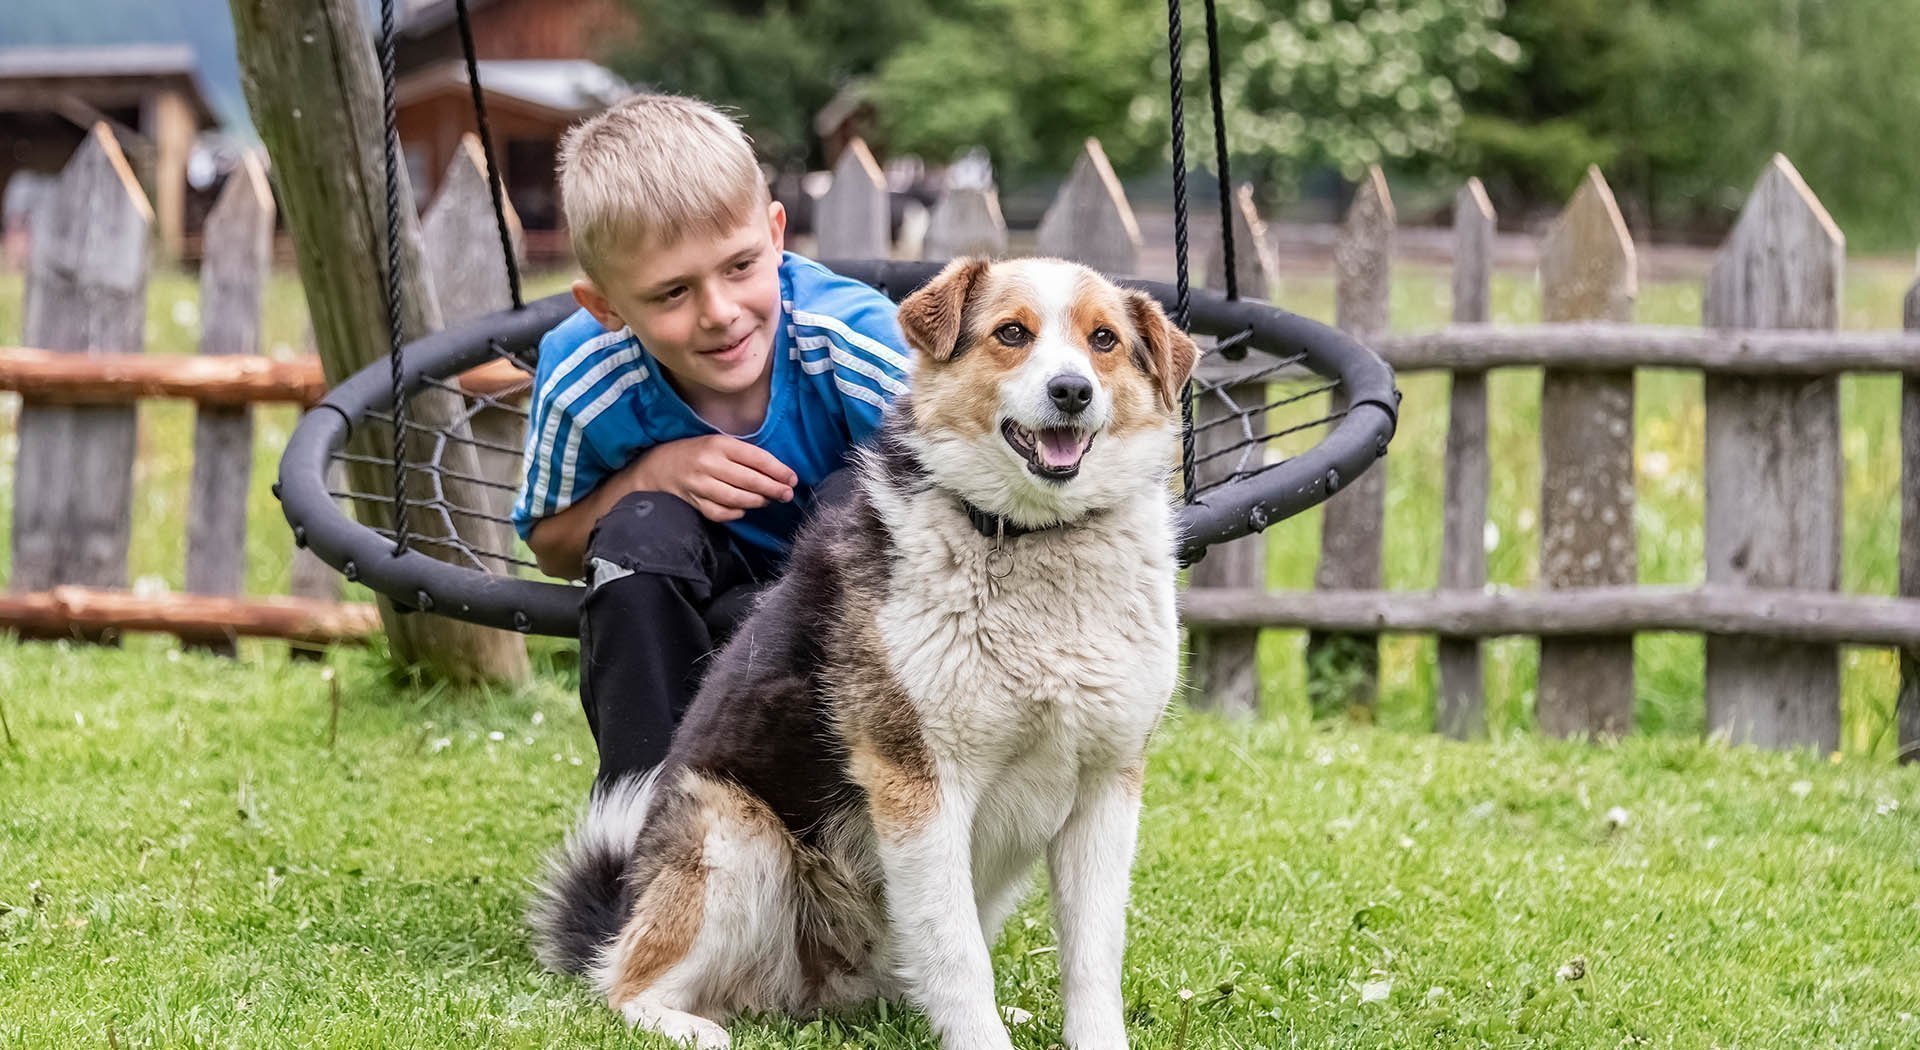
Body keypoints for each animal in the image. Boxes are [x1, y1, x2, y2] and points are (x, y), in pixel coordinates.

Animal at [533, 257, 1190, 1050]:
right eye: (1011, 334)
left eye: (1104, 341)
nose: (1073, 391)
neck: (1036, 540)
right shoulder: (919, 785)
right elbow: (958, 956)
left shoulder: (1106, 789)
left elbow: (1092, 960)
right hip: (737, 837)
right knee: (623, 984)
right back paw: (691, 1026)